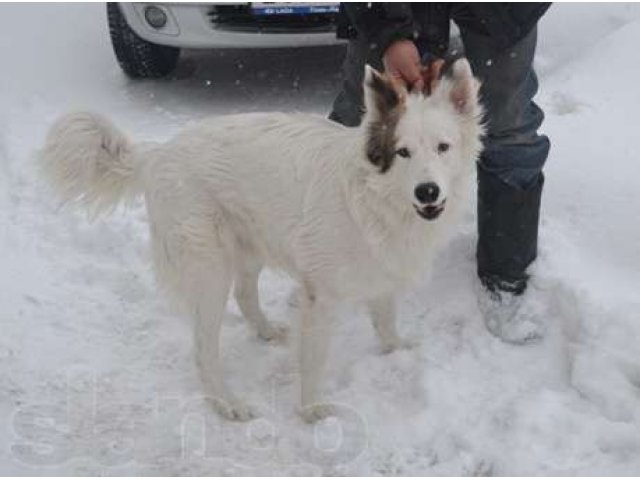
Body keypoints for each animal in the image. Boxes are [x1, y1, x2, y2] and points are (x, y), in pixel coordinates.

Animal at [42, 58, 482, 422]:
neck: (374, 198)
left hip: (247, 244)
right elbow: (315, 359)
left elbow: (386, 320)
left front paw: (397, 350)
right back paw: (225, 403)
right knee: (203, 349)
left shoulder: (383, 270)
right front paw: (310, 410)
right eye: (402, 152)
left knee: (244, 294)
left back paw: (266, 331)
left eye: (443, 147)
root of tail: (158, 153)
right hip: (209, 270)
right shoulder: (321, 297)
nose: (427, 191)